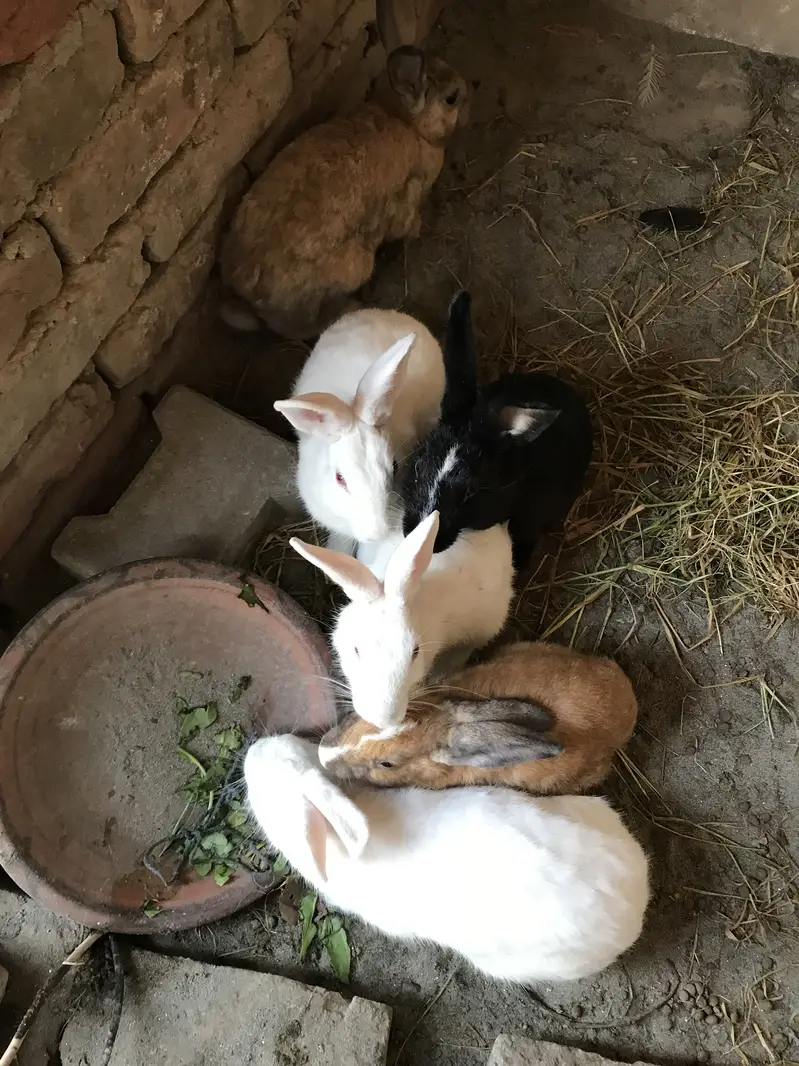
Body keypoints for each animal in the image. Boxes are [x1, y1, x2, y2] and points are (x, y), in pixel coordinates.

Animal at [218, 0, 469, 340]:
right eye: (451, 98)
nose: (469, 99)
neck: (406, 121)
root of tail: (252, 298)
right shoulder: (408, 198)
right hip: (354, 267)